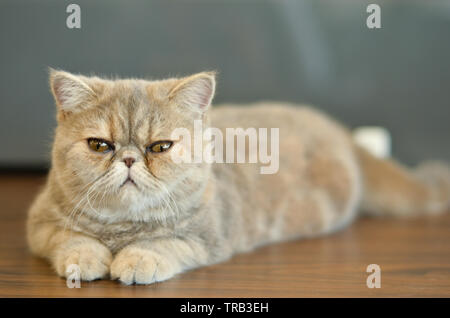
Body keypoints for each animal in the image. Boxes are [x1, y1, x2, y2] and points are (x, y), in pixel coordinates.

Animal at [27, 69, 450, 284]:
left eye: (160, 147)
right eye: (100, 145)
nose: (129, 159)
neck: (123, 227)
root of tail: (337, 127)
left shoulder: (208, 237)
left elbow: (166, 243)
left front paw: (137, 259)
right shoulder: (40, 225)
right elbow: (70, 240)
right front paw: (87, 256)